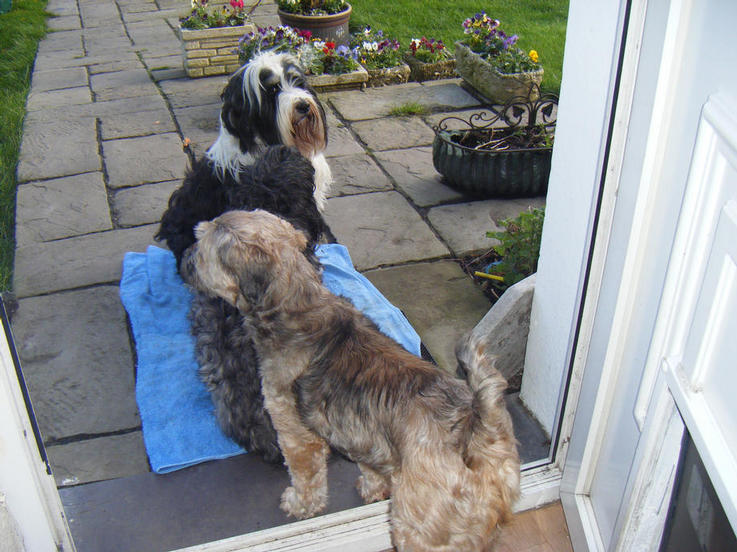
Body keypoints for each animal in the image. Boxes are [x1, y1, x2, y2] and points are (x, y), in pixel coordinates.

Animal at [181, 208, 520, 552]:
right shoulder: (364, 436)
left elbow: (306, 476)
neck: (297, 304)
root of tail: (480, 432)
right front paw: (373, 488)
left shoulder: (294, 433)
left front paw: (299, 503)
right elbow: (370, 465)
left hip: (420, 528)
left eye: (200, 247)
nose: (183, 258)